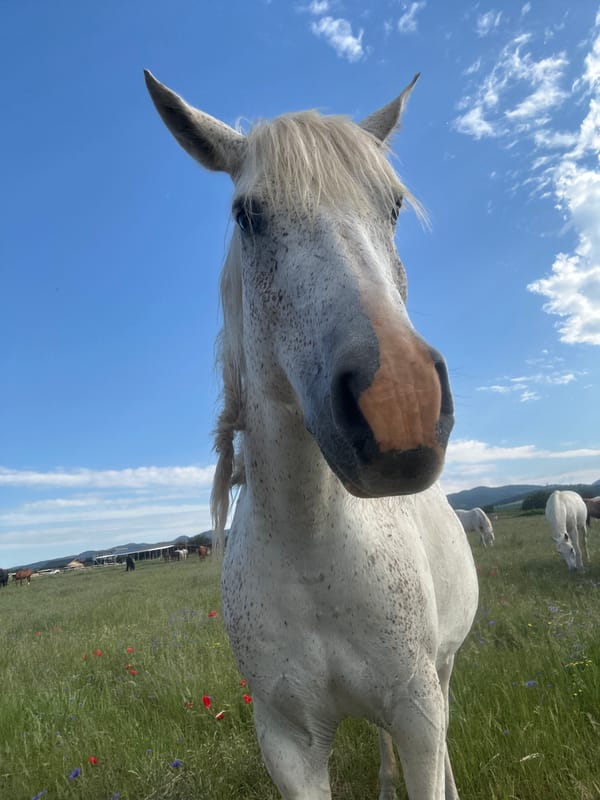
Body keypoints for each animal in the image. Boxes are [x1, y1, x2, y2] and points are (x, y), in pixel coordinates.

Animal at [145, 70, 479, 800]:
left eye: (393, 208)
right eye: (248, 215)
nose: (400, 405)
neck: (312, 548)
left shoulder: (417, 711)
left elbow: (430, 753)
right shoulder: (288, 741)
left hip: (439, 676)